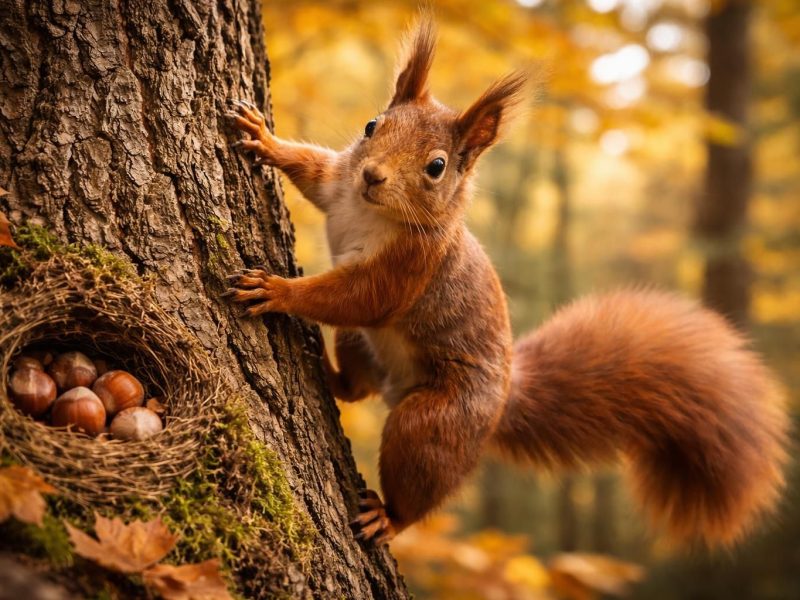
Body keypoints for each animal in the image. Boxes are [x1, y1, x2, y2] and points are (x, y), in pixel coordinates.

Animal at [224, 17, 789, 548]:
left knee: (418, 475)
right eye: (371, 125)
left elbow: (360, 297)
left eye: (436, 166)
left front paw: (277, 291)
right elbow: (312, 170)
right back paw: (329, 371)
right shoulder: (339, 183)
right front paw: (264, 139)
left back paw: (391, 516)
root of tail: (499, 407)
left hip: (436, 421)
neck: (369, 210)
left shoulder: (412, 265)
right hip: (363, 347)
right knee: (358, 387)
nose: (373, 176)